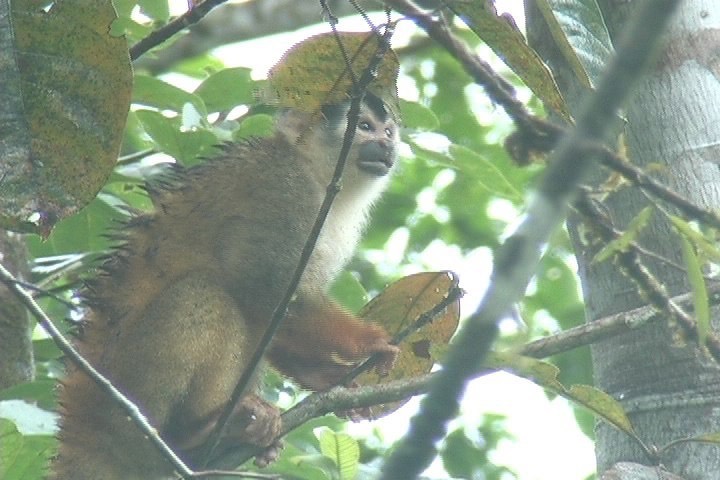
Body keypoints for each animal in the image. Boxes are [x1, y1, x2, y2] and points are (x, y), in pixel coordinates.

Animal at [52, 92, 400, 478]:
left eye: (388, 131)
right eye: (365, 126)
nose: (387, 145)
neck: (317, 172)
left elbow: (275, 314)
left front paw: (323, 376)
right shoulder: (285, 190)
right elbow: (265, 290)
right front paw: (367, 341)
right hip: (126, 400)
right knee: (205, 292)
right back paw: (196, 429)